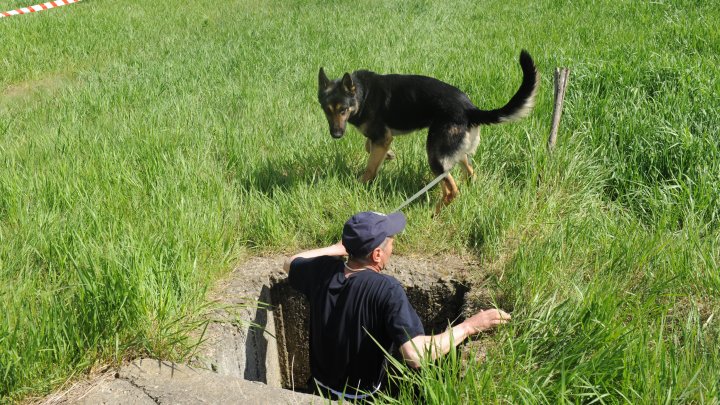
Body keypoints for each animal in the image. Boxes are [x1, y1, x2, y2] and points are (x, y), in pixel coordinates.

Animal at [318, 49, 536, 211]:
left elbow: (370, 168)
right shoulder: (381, 137)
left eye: (343, 110)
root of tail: (470, 109)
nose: (336, 135)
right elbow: (368, 146)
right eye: (327, 110)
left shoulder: (382, 136)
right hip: (455, 153)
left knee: (452, 190)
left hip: (435, 156)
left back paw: (434, 213)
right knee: (470, 174)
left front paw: (360, 185)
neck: (362, 94)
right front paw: (389, 155)